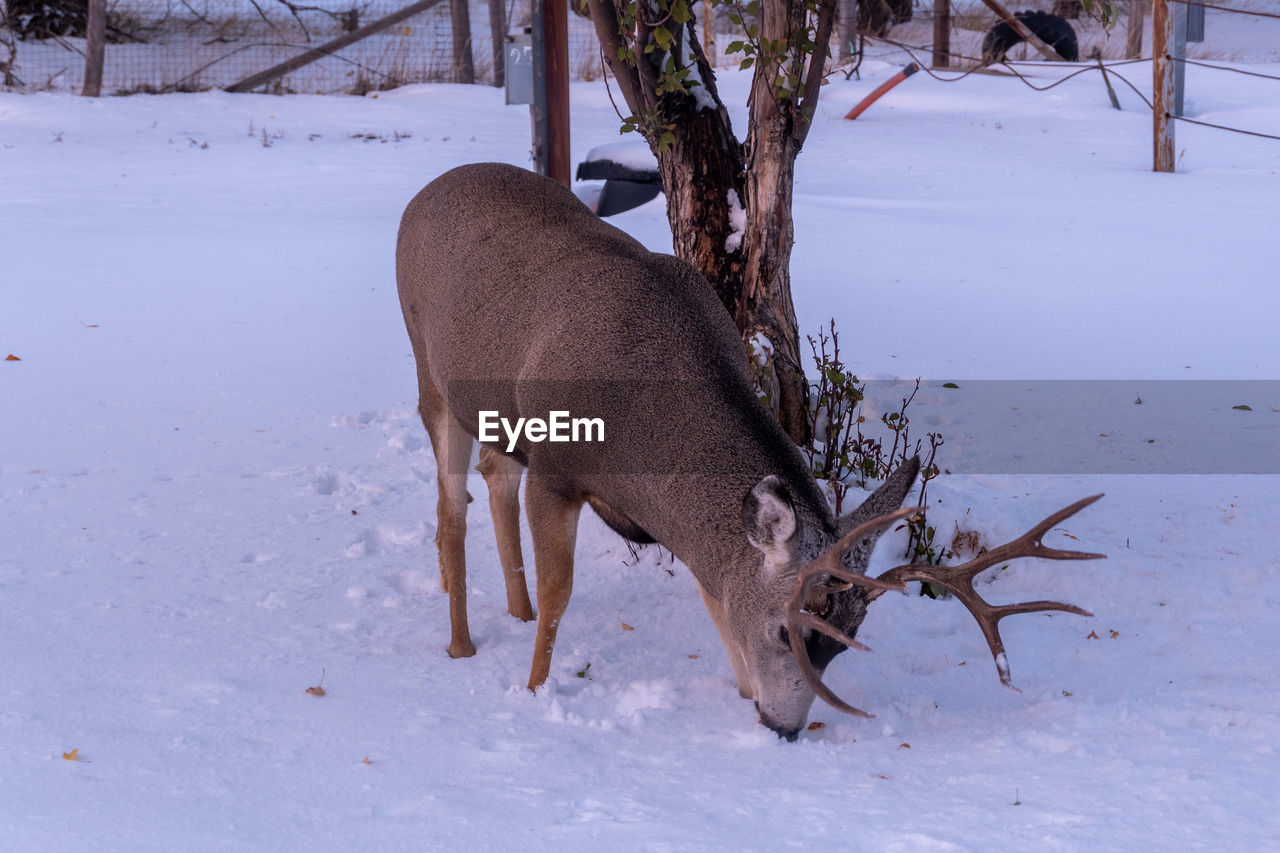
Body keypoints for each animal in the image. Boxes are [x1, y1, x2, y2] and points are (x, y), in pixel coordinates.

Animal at [394, 161, 1105, 737]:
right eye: (785, 632)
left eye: (845, 643)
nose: (783, 728)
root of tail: (425, 191)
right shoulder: (557, 468)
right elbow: (562, 593)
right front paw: (536, 691)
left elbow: (716, 593)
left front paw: (740, 689)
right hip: (431, 375)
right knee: (449, 506)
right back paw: (462, 644)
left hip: (491, 415)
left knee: (492, 477)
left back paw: (513, 611)